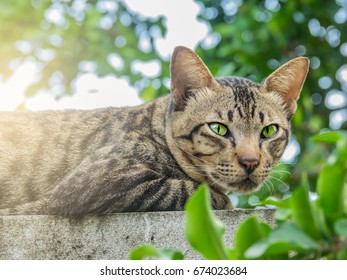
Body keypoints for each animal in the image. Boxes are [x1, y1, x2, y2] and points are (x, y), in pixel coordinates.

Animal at [0, 47, 310, 215]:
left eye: (269, 131)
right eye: (218, 128)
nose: (250, 161)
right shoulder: (91, 181)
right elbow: (182, 188)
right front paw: (221, 199)